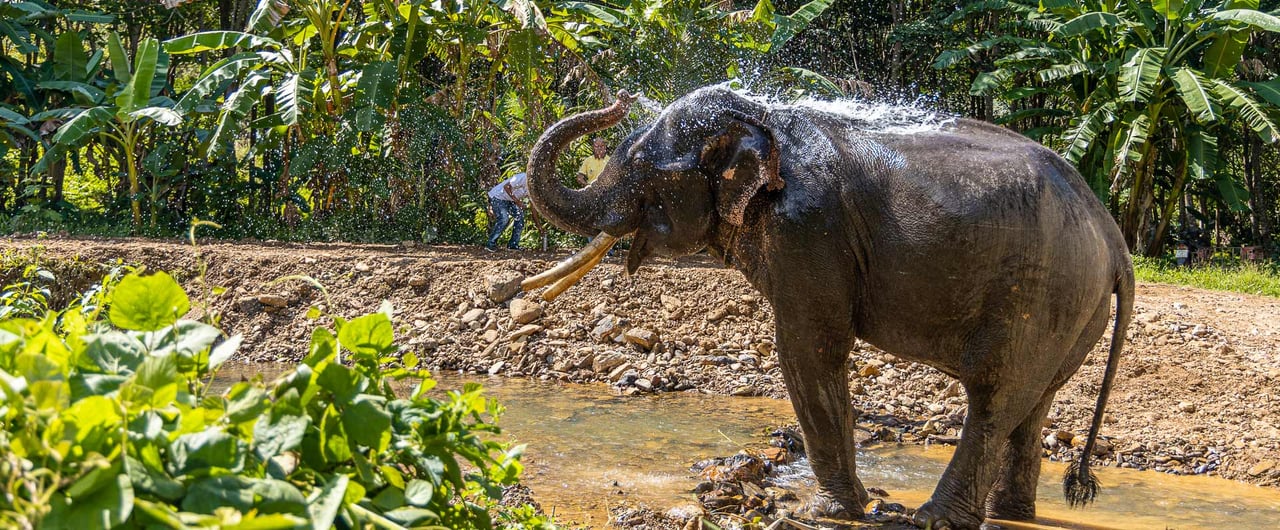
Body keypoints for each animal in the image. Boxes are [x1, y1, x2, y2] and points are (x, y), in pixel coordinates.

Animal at [514, 87, 1136, 530]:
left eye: (645, 167)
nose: (619, 98)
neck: (763, 119)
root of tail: (1114, 238)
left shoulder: (808, 230)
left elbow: (810, 346)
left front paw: (830, 513)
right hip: (1070, 311)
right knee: (1032, 405)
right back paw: (1010, 516)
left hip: (1039, 294)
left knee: (995, 397)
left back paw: (935, 520)